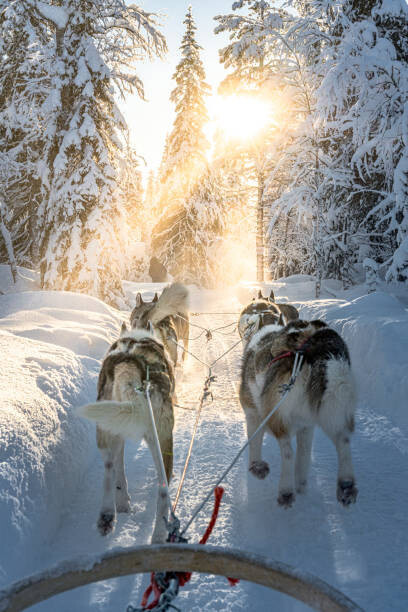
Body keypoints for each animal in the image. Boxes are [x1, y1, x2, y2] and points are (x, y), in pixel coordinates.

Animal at [77, 328, 175, 544]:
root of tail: (128, 362)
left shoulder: (117, 433)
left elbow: (119, 470)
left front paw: (122, 501)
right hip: (162, 438)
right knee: (163, 490)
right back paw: (159, 534)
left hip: (106, 427)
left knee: (109, 467)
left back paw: (107, 515)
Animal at [239, 320, 356, 506]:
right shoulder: (306, 426)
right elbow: (304, 457)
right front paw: (301, 485)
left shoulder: (253, 413)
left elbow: (255, 443)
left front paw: (257, 467)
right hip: (334, 408)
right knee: (343, 441)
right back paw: (346, 485)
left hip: (277, 417)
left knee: (287, 452)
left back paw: (286, 491)